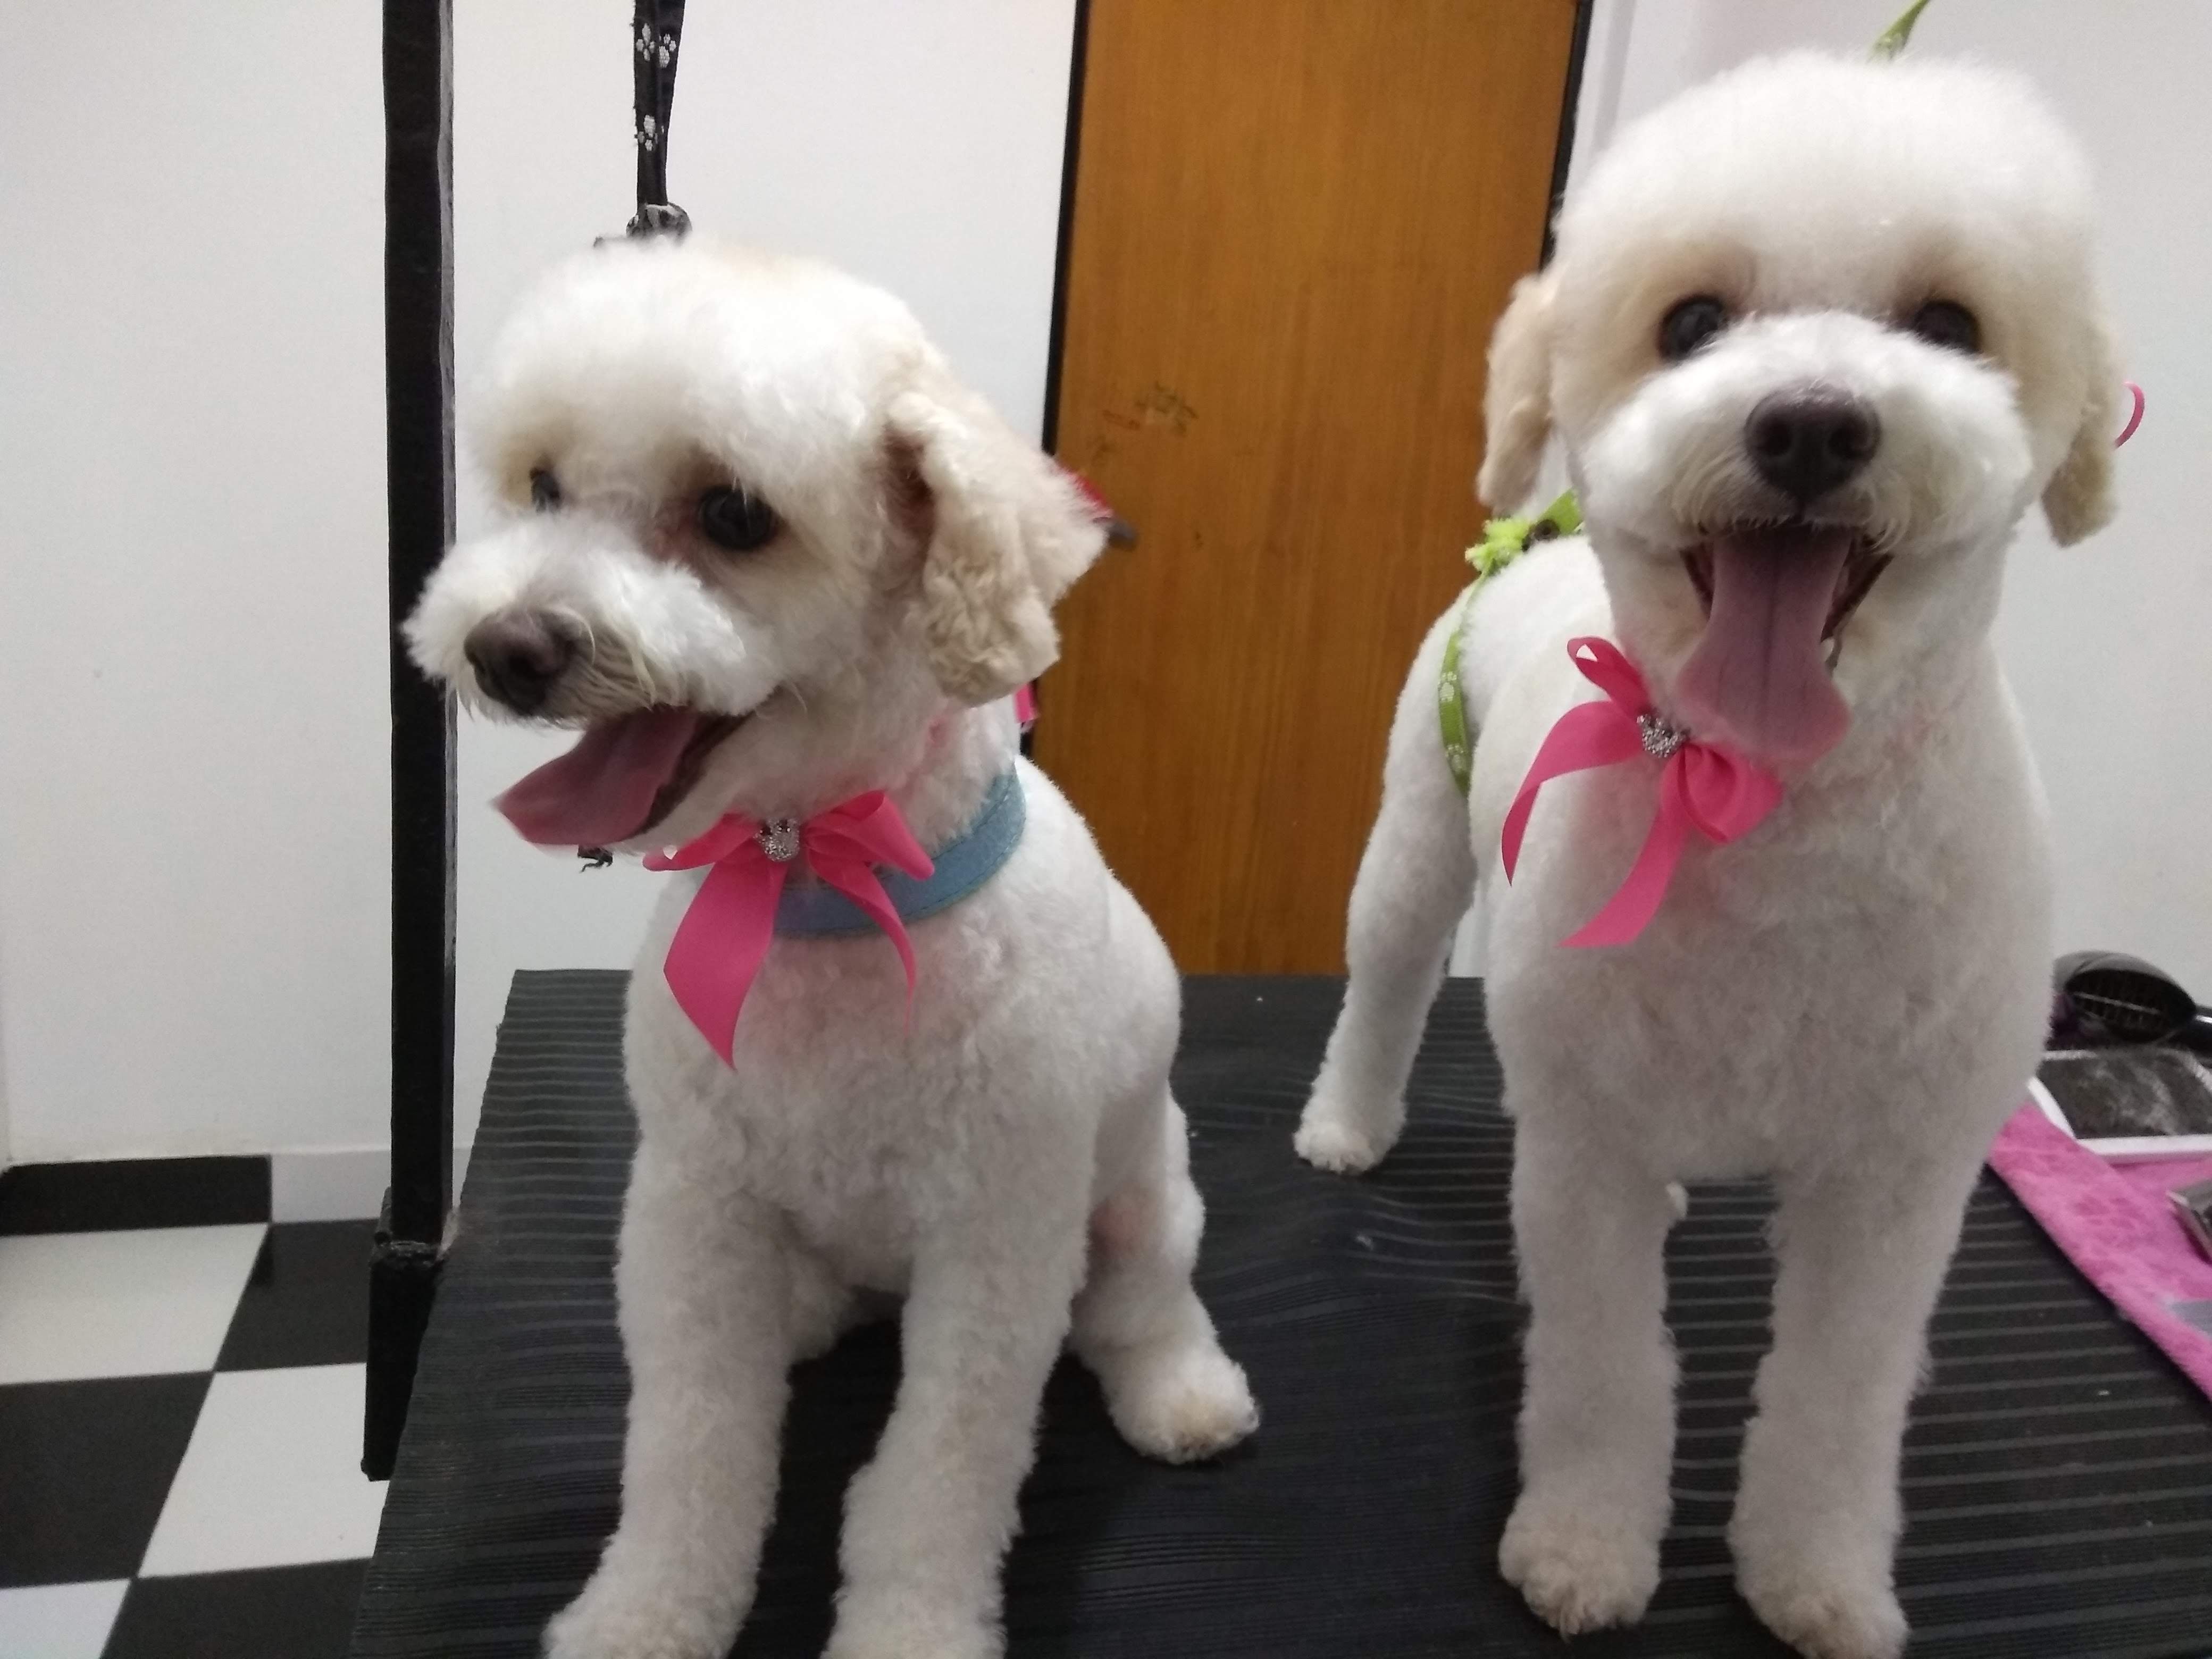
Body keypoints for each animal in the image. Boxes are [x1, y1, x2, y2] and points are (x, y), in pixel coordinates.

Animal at [408, 238, 1257, 1659]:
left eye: (735, 514)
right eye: (543, 487)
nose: (507, 648)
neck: (819, 890)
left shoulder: (995, 1243)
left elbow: (936, 1476)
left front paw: (910, 1625)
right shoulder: (694, 1207)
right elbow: (691, 1447)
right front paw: (646, 1611)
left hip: (1142, 1192)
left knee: (1141, 1302)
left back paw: (1182, 1390)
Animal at [1296, 51, 2116, 1659]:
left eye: (1948, 324)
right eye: (1690, 324)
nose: (1811, 424)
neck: (1763, 801)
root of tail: (1537, 539)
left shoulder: (1896, 1178)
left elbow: (1838, 1400)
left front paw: (1819, 1574)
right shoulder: (1585, 1159)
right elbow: (1606, 1370)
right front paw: (1583, 1546)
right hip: (1415, 844)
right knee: (1387, 985)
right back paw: (1347, 1120)